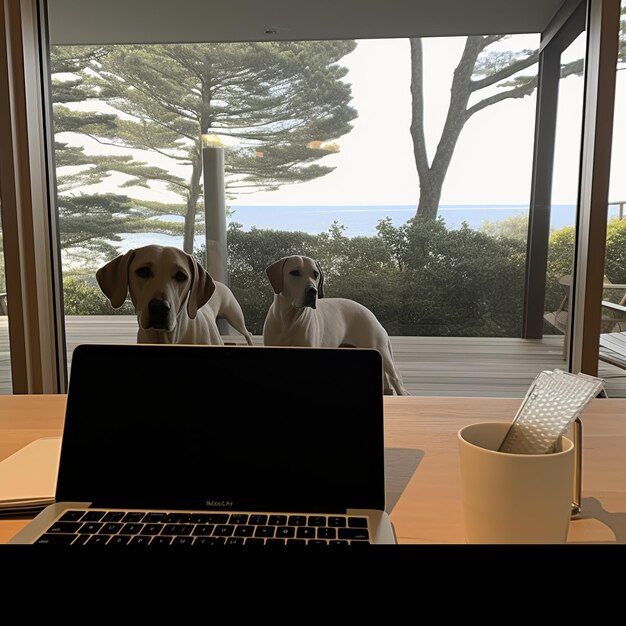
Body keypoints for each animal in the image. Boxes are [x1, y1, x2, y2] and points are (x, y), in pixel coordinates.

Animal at [96, 244, 252, 344]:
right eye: (143, 271)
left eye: (181, 276)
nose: (159, 307)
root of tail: (219, 283)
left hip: (235, 315)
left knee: (246, 332)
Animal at [260, 255, 408, 394]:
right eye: (294, 272)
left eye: (315, 274)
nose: (312, 291)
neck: (289, 319)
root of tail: (371, 314)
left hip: (381, 351)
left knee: (397, 382)